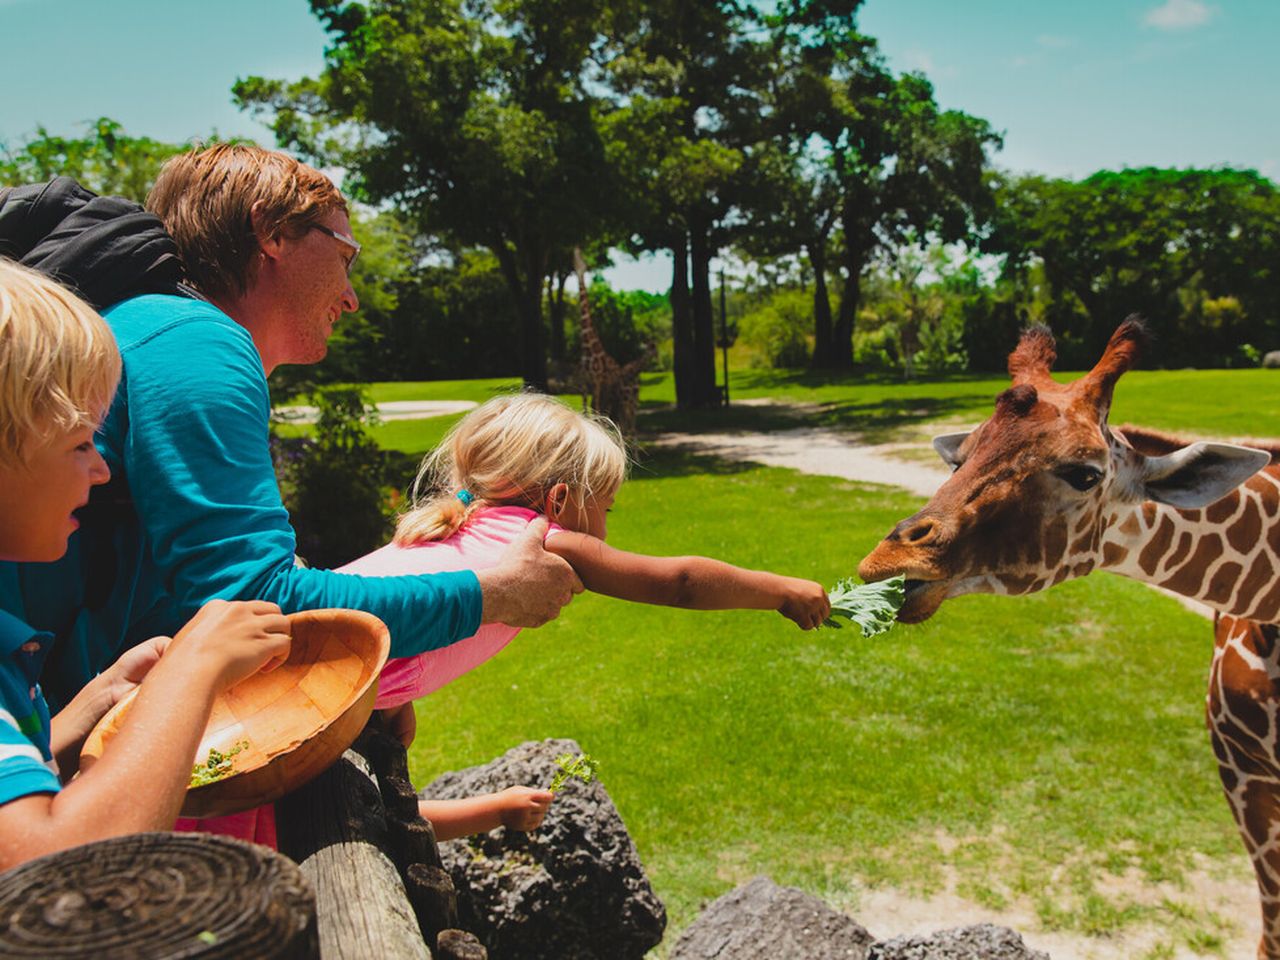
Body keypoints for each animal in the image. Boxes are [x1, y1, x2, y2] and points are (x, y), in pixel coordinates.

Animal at [573, 252, 650, 440]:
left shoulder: (598, 382)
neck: (588, 349)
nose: (578, 266)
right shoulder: (584, 384)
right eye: (575, 261)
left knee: (627, 420)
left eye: (584, 262)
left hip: (622, 397)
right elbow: (588, 410)